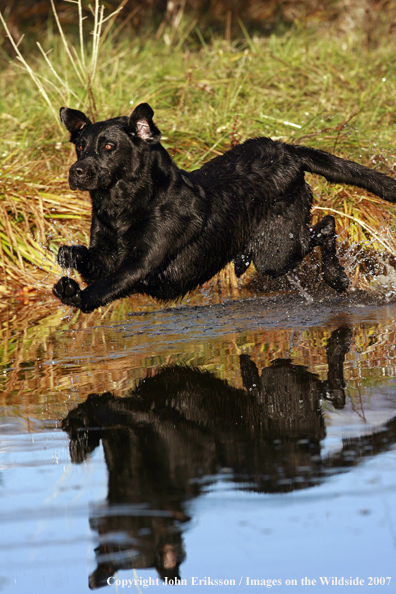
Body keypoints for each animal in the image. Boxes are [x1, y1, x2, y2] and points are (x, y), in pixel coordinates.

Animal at [54, 103, 396, 312]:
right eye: (80, 146)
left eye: (109, 147)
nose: (76, 171)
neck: (122, 206)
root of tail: (287, 150)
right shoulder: (106, 256)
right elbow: (90, 261)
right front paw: (67, 255)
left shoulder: (142, 262)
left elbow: (105, 287)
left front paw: (75, 295)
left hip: (276, 251)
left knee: (325, 226)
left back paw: (336, 276)